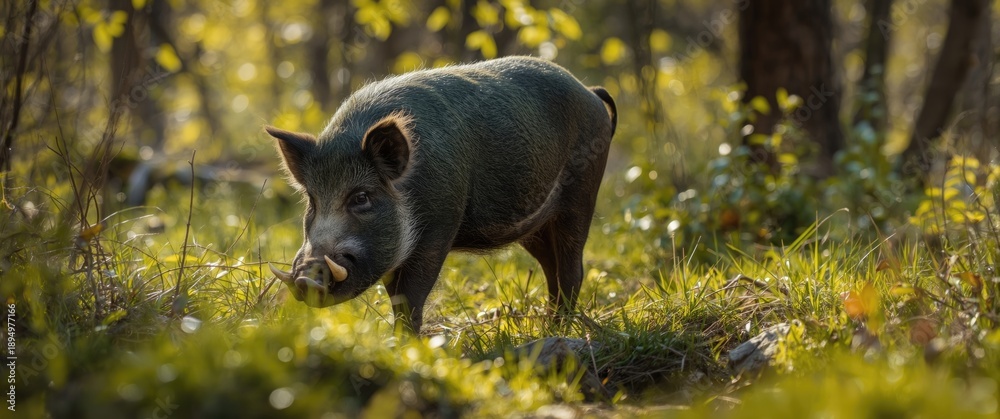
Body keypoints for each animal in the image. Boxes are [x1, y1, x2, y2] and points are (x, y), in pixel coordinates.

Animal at [266, 56, 617, 333]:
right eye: (312, 201)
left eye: (361, 197)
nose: (306, 277)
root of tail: (590, 93)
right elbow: (396, 297)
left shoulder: (439, 227)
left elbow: (411, 297)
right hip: (534, 226)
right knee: (551, 268)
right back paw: (550, 327)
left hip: (582, 192)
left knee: (572, 267)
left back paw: (557, 331)